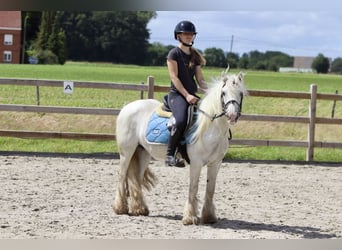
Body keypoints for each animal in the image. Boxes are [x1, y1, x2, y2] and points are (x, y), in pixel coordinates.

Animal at [113, 70, 247, 225]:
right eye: (223, 93)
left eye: (240, 93)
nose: (232, 115)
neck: (211, 127)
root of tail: (126, 107)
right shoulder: (196, 163)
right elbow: (193, 187)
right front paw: (190, 217)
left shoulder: (215, 163)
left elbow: (210, 189)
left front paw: (209, 217)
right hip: (126, 152)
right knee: (121, 175)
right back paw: (120, 208)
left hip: (143, 153)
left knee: (136, 178)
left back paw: (139, 209)